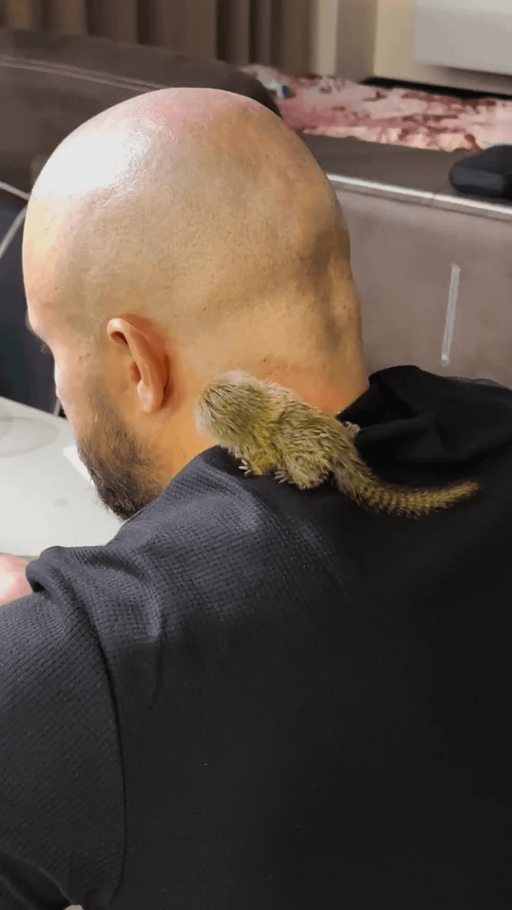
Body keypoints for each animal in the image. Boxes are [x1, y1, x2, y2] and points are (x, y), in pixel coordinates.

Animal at [195, 371, 479, 518]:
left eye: (206, 403)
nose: (200, 392)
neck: (256, 409)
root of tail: (341, 448)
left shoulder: (256, 443)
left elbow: (264, 459)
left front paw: (252, 469)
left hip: (307, 459)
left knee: (307, 471)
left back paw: (294, 477)